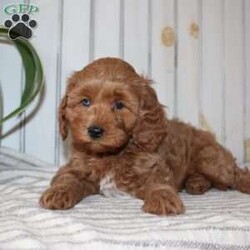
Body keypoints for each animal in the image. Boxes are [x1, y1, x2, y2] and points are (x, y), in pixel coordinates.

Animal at [39, 56, 250, 215]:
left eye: (119, 105)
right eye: (85, 102)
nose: (95, 131)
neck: (112, 154)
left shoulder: (155, 168)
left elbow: (159, 183)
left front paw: (163, 199)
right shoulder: (75, 167)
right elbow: (67, 178)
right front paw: (57, 193)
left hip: (212, 162)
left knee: (234, 173)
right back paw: (196, 183)